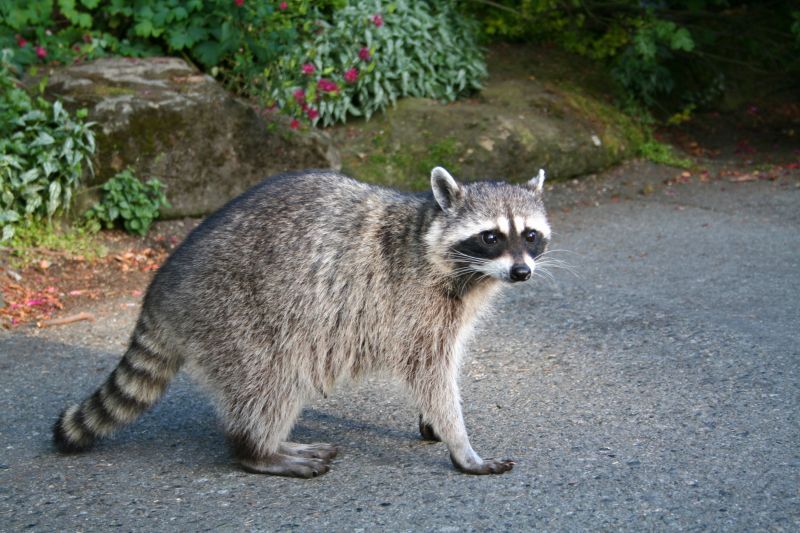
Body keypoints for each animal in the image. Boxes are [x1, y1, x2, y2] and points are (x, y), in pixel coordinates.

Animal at [53, 166, 550, 478]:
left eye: (530, 235)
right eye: (491, 237)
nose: (522, 272)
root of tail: (163, 288)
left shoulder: (452, 307)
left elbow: (441, 364)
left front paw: (434, 423)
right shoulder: (413, 301)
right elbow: (430, 371)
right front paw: (460, 443)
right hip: (237, 315)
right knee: (272, 382)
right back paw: (258, 450)